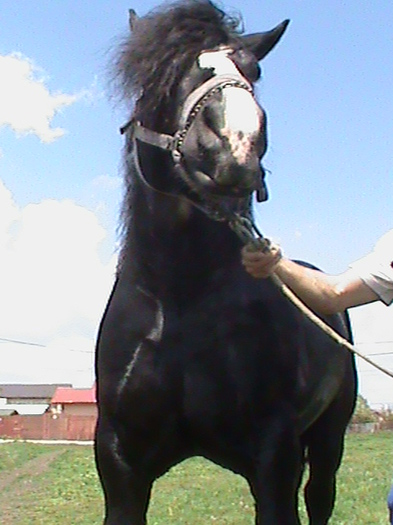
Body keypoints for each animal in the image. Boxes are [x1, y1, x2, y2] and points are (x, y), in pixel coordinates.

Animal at [94, 2, 356, 520]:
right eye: (159, 75)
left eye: (253, 71)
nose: (234, 146)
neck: (177, 300)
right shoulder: (120, 465)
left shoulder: (275, 460)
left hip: (328, 439)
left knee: (320, 497)